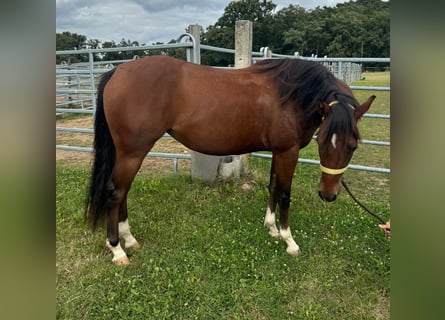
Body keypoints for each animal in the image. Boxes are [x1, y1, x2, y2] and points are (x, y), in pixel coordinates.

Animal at [84, 55, 374, 264]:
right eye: (322, 141)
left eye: (352, 146)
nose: (328, 194)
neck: (292, 94)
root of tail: (118, 72)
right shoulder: (288, 152)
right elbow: (284, 194)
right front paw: (289, 240)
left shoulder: (277, 151)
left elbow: (272, 187)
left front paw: (270, 228)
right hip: (133, 152)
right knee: (115, 193)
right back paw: (117, 250)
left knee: (122, 192)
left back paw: (129, 239)